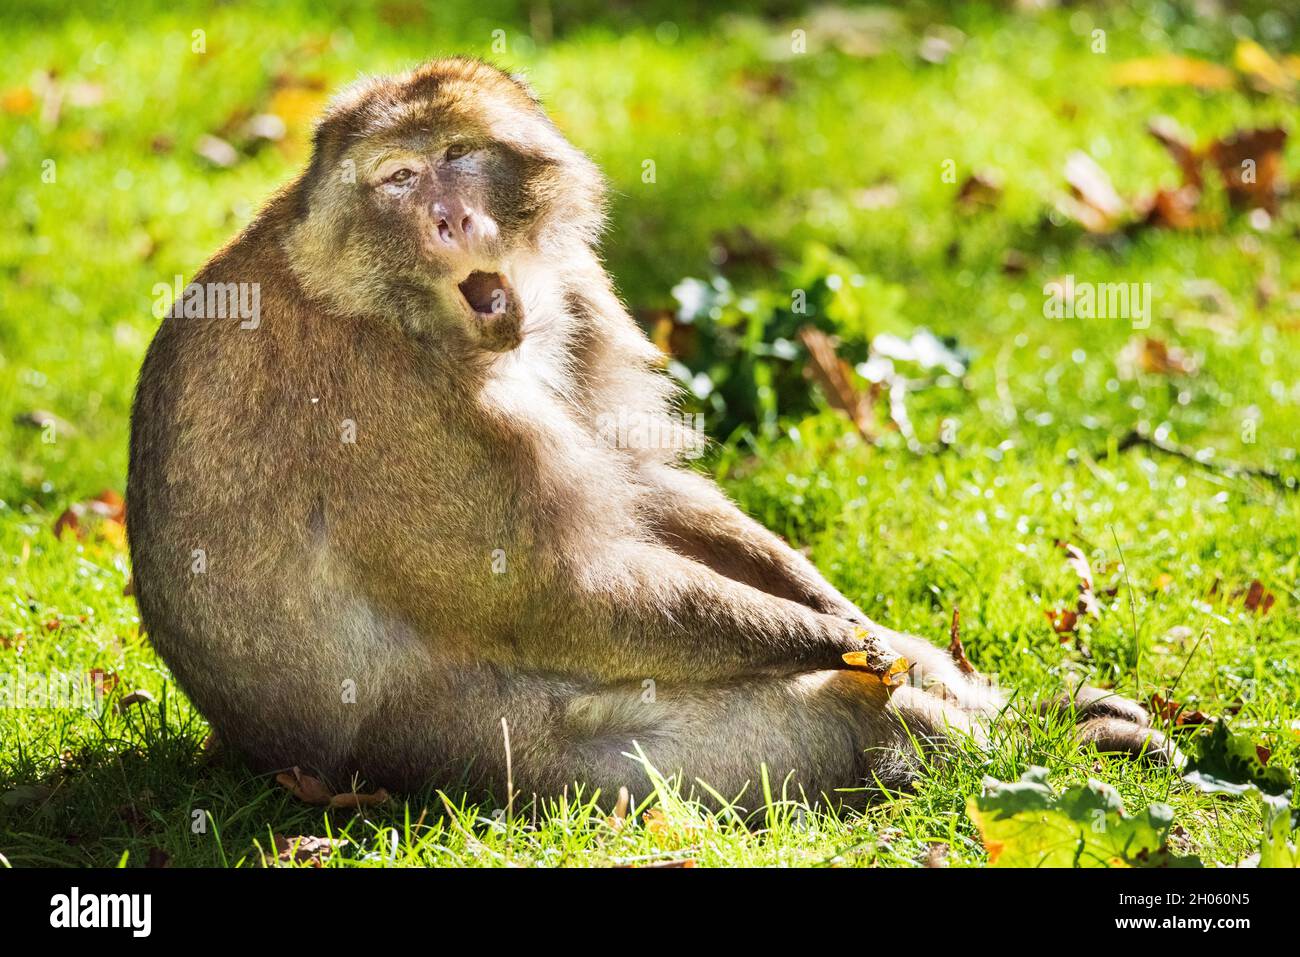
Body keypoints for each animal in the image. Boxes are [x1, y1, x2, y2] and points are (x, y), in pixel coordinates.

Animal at [129, 57, 1180, 806]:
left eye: (460, 156)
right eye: (397, 177)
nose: (446, 217)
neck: (391, 309)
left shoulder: (576, 292)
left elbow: (647, 485)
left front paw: (847, 615)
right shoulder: (381, 409)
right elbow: (565, 590)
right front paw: (825, 636)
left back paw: (1049, 715)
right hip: (500, 758)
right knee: (822, 713)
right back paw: (990, 743)